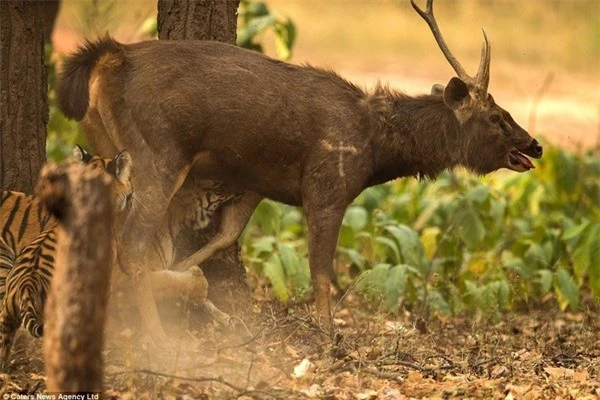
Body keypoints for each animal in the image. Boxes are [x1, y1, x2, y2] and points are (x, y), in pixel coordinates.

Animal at [57, 0, 544, 340]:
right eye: (496, 116)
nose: (535, 145)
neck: (374, 149)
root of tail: (113, 56)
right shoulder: (328, 186)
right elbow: (322, 273)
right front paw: (330, 339)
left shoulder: (256, 182)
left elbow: (223, 237)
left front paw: (193, 285)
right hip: (158, 152)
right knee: (131, 245)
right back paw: (156, 337)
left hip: (106, 144)